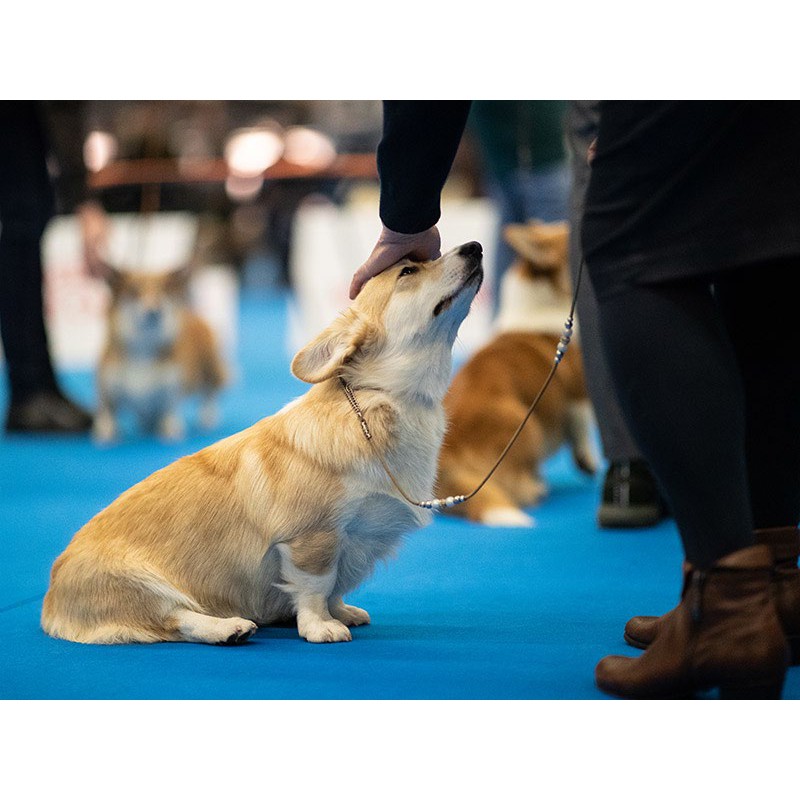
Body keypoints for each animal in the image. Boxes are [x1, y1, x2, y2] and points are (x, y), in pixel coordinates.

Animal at [93, 268, 228, 444]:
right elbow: (107, 414)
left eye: (163, 291)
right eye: (134, 290)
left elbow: (169, 409)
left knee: (210, 393)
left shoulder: (171, 388)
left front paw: (170, 431)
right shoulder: (107, 391)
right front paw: (106, 435)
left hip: (209, 369)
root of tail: (193, 315)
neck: (143, 347)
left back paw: (207, 418)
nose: (155, 311)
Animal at [434, 222, 596, 528]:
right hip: (527, 424)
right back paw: (536, 486)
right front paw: (589, 463)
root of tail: (447, 456)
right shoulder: (579, 392)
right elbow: (582, 431)